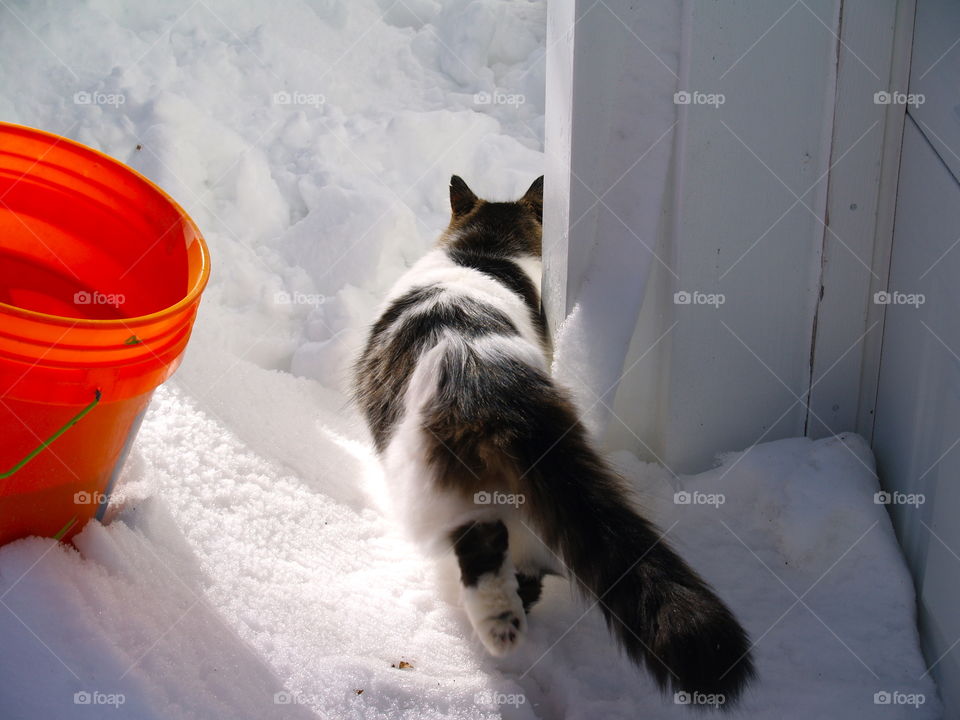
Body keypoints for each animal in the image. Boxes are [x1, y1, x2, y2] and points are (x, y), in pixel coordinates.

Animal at [356, 177, 752, 704]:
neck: (484, 250)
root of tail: (490, 386)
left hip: (453, 492)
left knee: (485, 557)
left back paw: (499, 633)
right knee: (527, 569)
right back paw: (514, 623)